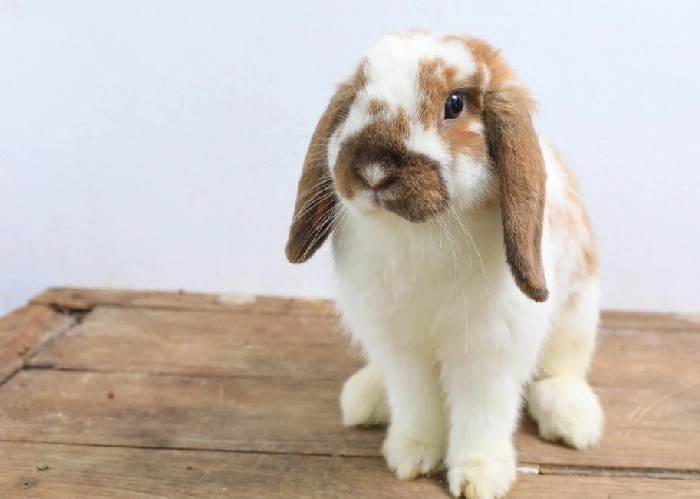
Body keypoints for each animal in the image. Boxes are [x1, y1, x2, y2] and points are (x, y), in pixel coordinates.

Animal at [285, 30, 602, 499]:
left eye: (455, 104)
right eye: (358, 95)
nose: (373, 169)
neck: (419, 233)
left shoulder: (488, 353)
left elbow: (481, 414)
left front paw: (479, 476)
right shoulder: (402, 347)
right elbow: (416, 404)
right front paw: (411, 457)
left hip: (577, 319)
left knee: (559, 372)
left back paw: (573, 420)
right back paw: (366, 397)